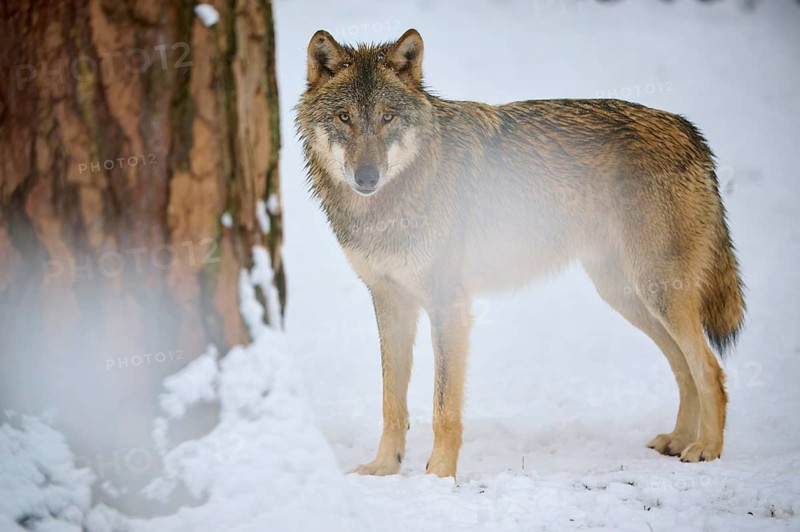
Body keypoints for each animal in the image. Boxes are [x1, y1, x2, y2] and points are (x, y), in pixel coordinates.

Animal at [296, 29, 745, 478]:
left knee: (710, 369)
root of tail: (688, 128)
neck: (392, 203)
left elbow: (443, 408)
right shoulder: (390, 302)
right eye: (344, 118)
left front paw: (438, 476)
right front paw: (384, 469)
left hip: (658, 293)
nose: (366, 177)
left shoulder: (448, 304)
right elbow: (391, 401)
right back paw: (679, 440)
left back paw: (707, 448)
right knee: (683, 367)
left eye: (387, 118)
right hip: (627, 296)